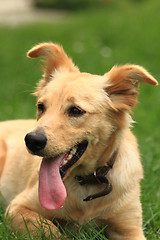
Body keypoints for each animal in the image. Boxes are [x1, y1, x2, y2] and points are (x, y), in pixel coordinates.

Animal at [0, 42, 158, 239]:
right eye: (41, 106)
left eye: (76, 110)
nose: (32, 140)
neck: (87, 183)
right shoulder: (17, 208)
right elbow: (50, 230)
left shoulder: (130, 229)